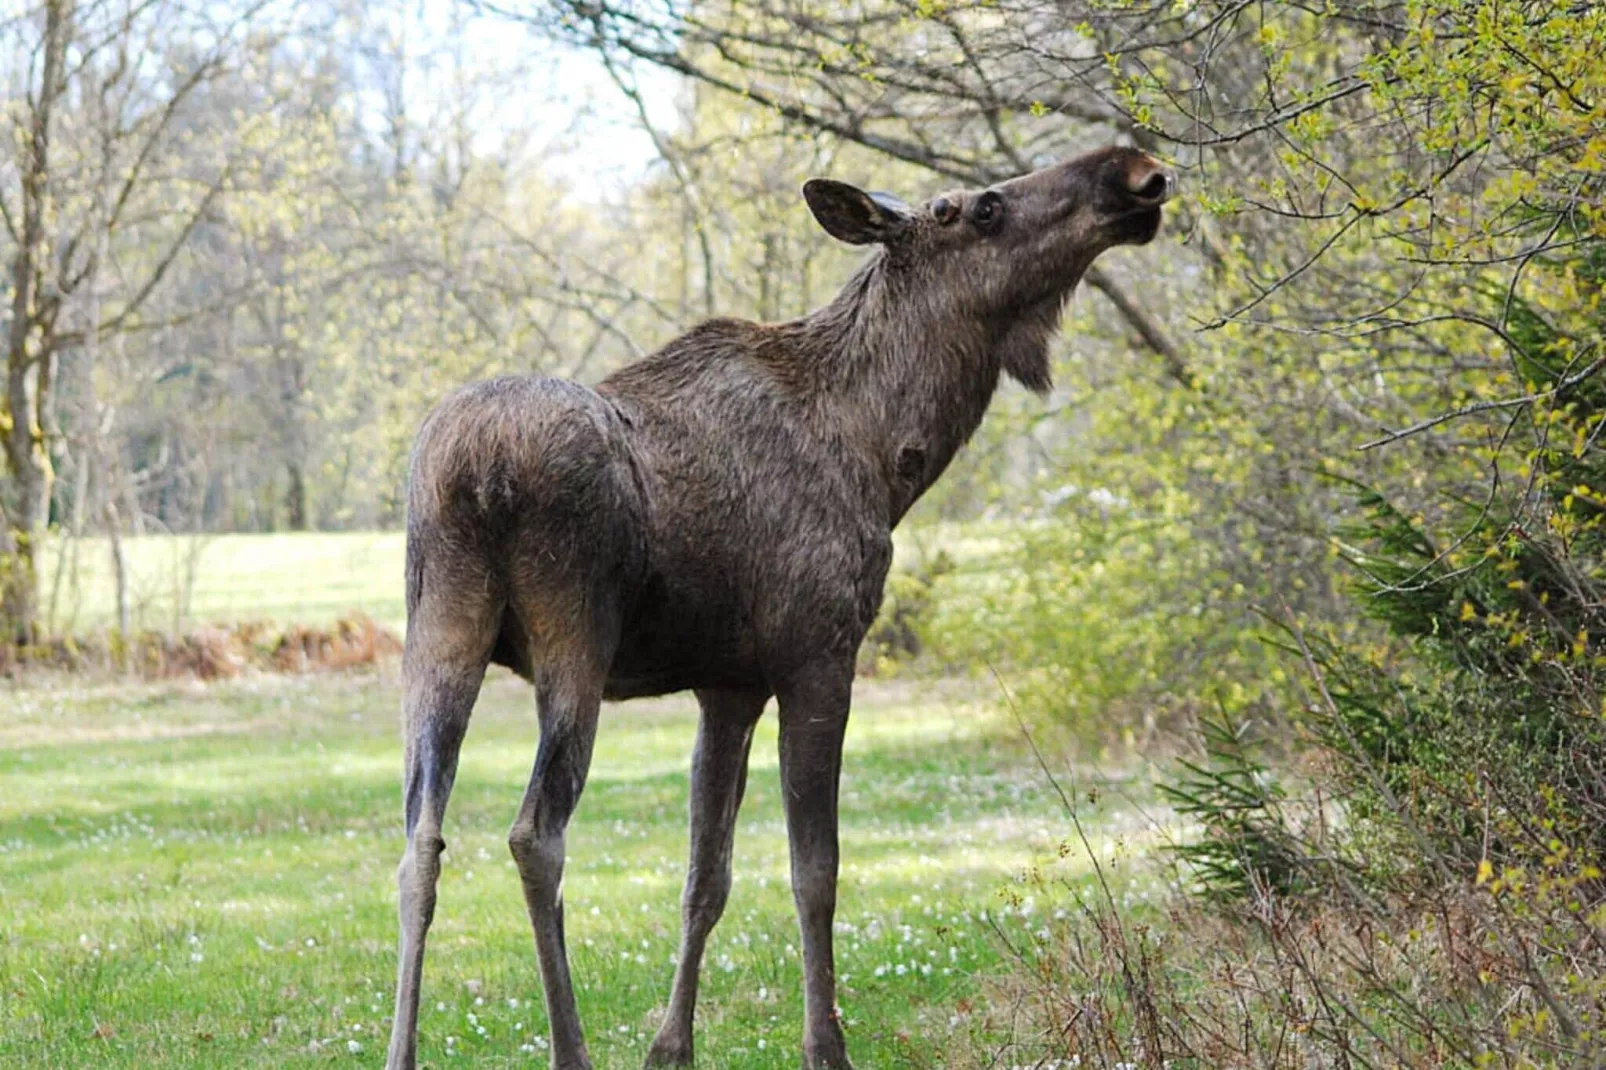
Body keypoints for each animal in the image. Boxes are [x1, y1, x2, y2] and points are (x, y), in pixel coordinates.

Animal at [382, 143, 1175, 1066]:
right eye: (982, 208)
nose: (1134, 170)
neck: (890, 455)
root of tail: (478, 472)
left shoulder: (728, 686)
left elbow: (706, 878)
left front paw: (670, 1047)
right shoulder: (818, 655)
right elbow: (814, 872)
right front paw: (825, 1044)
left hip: (438, 630)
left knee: (419, 841)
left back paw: (402, 1051)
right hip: (572, 635)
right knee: (534, 833)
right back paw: (570, 1049)